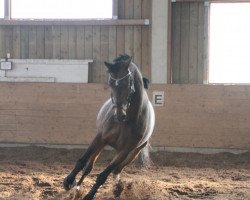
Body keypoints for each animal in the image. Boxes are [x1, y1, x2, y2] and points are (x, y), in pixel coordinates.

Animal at [62, 54, 155, 200]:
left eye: (128, 83)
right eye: (110, 83)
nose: (119, 115)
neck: (127, 120)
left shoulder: (125, 150)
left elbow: (103, 175)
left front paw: (90, 195)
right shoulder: (100, 138)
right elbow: (82, 161)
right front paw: (69, 181)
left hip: (133, 153)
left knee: (117, 170)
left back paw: (118, 187)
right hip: (102, 145)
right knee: (89, 167)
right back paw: (77, 187)